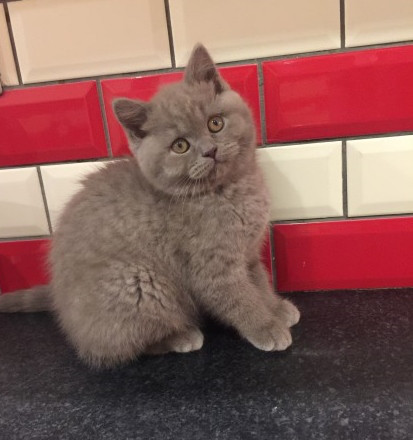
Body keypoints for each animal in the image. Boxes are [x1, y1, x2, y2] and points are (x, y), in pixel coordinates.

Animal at [0, 44, 300, 368]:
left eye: (215, 123)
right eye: (180, 146)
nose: (210, 150)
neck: (227, 191)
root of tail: (60, 301)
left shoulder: (248, 253)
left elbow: (259, 282)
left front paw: (277, 308)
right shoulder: (211, 266)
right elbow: (239, 298)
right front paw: (266, 327)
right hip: (140, 284)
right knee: (116, 345)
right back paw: (181, 336)